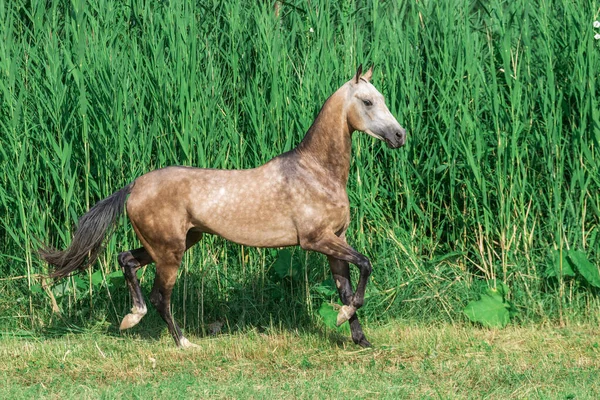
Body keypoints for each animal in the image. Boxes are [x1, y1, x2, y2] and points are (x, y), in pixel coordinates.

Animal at [39, 65, 408, 346]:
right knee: (160, 296)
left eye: (382, 99)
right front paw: (346, 320)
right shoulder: (316, 240)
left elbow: (347, 288)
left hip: (177, 242)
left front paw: (360, 338)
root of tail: (135, 185)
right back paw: (183, 342)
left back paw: (132, 317)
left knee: (126, 259)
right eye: (367, 101)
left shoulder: (336, 241)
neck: (316, 172)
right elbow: (366, 266)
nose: (400, 136)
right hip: (170, 253)